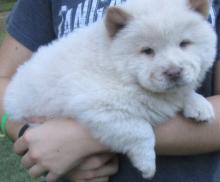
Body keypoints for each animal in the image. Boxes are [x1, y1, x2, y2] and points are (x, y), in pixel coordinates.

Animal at [3, 0, 217, 178]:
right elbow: (141, 130)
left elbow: (184, 92)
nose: (174, 72)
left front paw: (199, 106)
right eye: (147, 51)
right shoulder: (101, 109)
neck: (116, 67)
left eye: (184, 44)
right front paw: (147, 165)